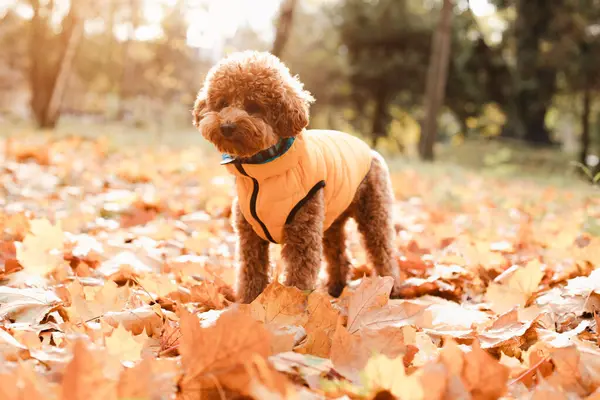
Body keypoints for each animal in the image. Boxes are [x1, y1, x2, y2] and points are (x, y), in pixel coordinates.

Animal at [192, 50, 398, 304]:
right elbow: (251, 272)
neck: (262, 173)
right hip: (331, 221)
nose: (227, 126)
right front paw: (249, 305)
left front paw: (291, 306)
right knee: (339, 254)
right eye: (222, 103)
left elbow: (299, 276)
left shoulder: (302, 233)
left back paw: (391, 288)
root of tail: (370, 149)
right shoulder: (250, 237)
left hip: (373, 213)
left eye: (253, 106)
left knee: (383, 251)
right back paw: (336, 289)